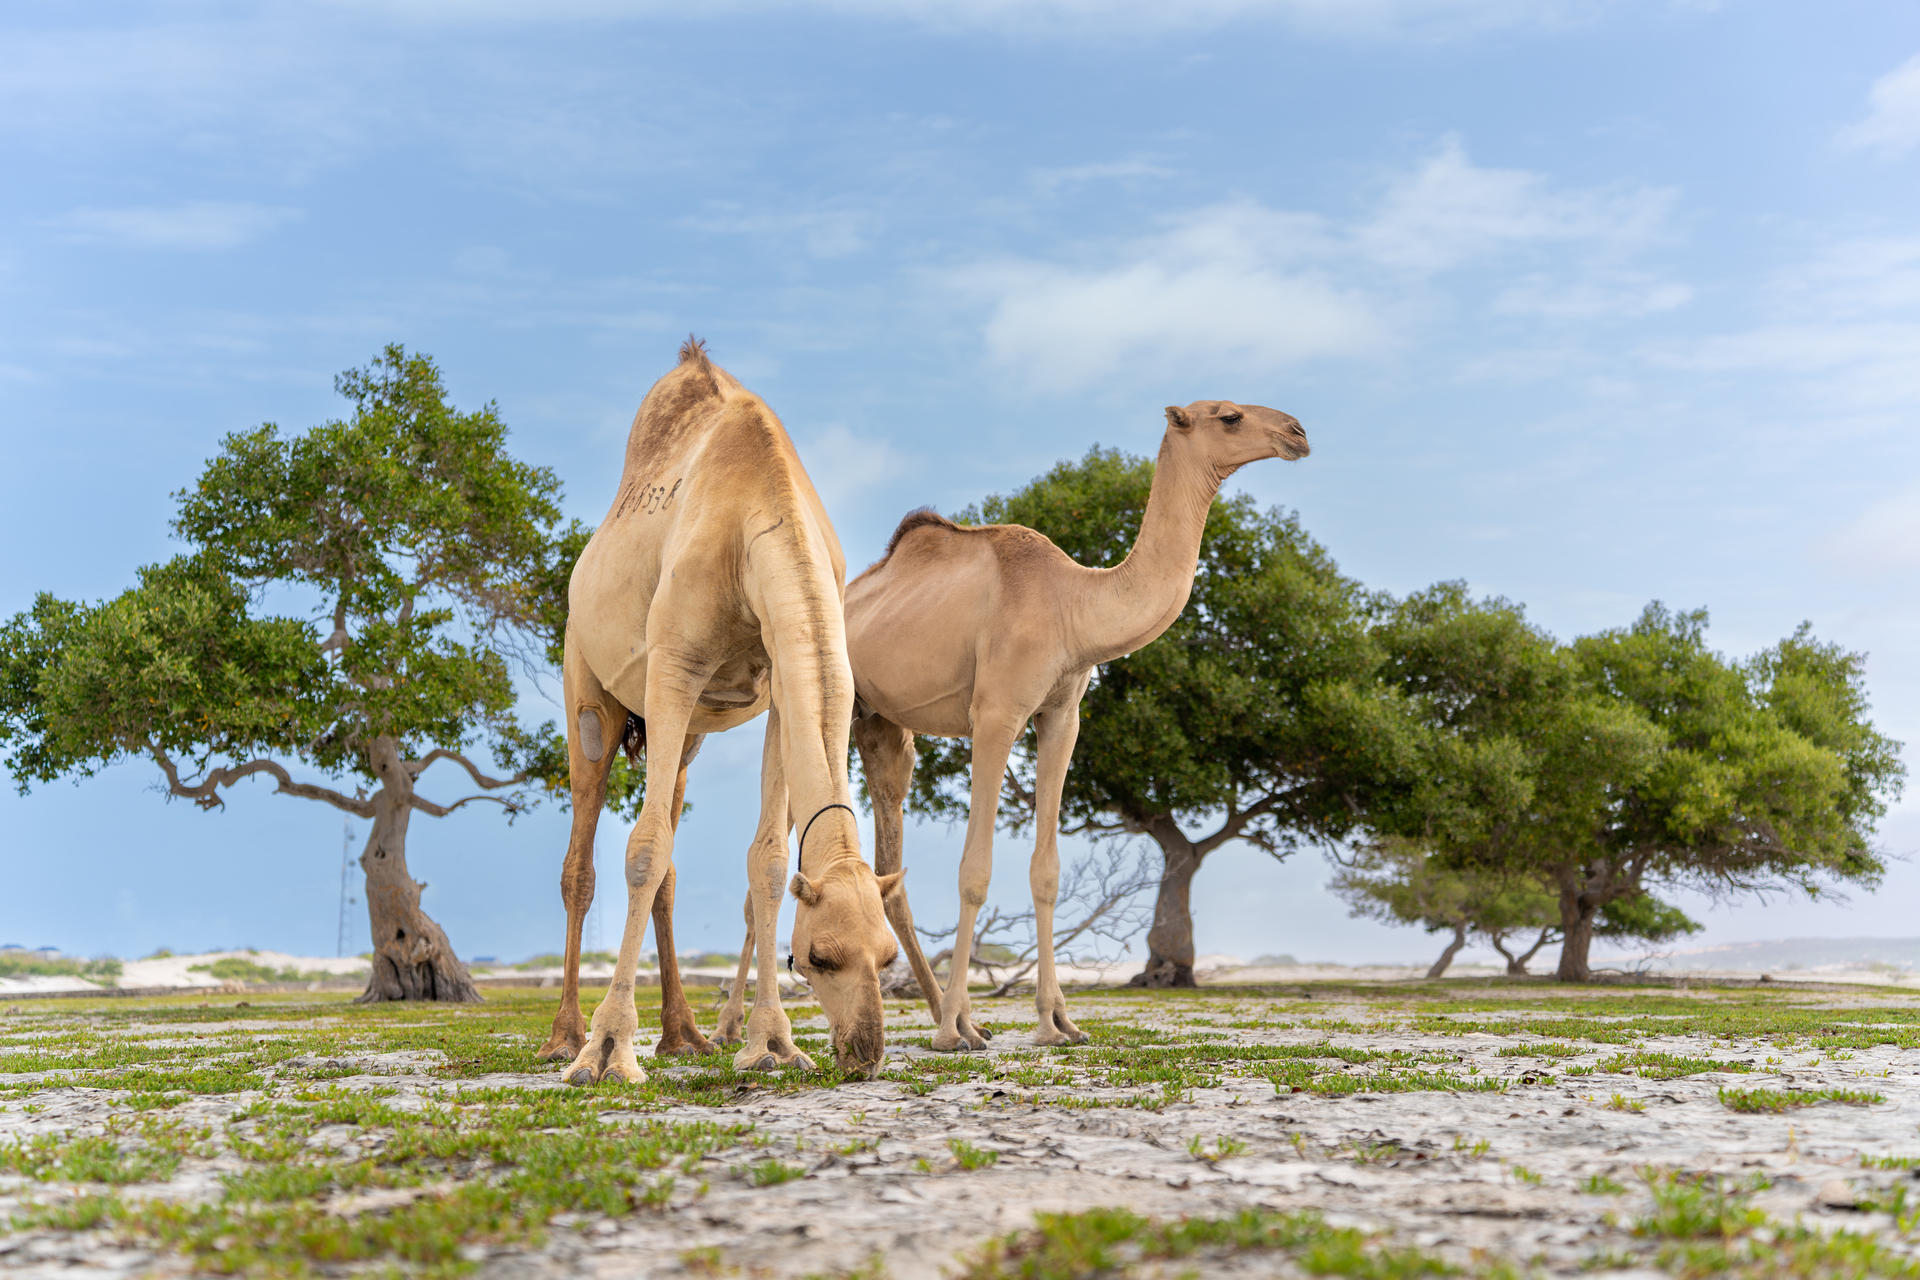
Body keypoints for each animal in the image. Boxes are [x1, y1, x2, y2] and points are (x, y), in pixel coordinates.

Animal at [536, 338, 902, 1084]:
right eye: (818, 958)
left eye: (887, 956)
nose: (864, 1052)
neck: (754, 525)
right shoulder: (673, 668)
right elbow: (642, 850)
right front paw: (608, 1050)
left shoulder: (780, 683)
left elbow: (767, 860)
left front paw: (772, 1043)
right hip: (587, 678)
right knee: (582, 857)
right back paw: (565, 1036)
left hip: (686, 736)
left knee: (670, 858)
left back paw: (684, 1036)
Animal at [701, 399, 1308, 1052]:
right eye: (1229, 416)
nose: (1297, 432)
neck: (1073, 605)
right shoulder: (995, 714)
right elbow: (975, 869)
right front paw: (954, 1032)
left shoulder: (1062, 715)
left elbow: (1047, 870)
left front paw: (1056, 1022)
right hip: (817, 704)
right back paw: (736, 1028)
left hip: (884, 727)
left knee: (890, 866)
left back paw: (943, 1010)